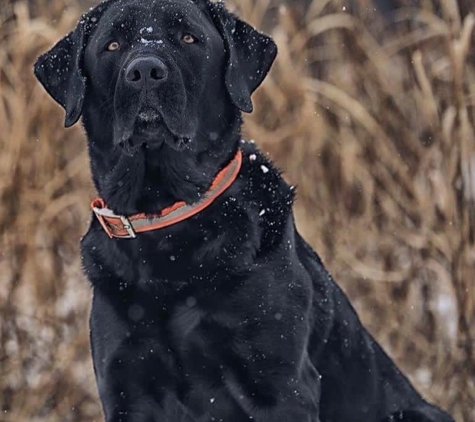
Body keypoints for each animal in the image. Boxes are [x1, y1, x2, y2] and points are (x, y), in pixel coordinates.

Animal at [34, 0, 458, 422]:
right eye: (112, 44)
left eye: (189, 37)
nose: (145, 72)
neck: (167, 224)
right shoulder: (127, 388)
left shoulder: (281, 387)